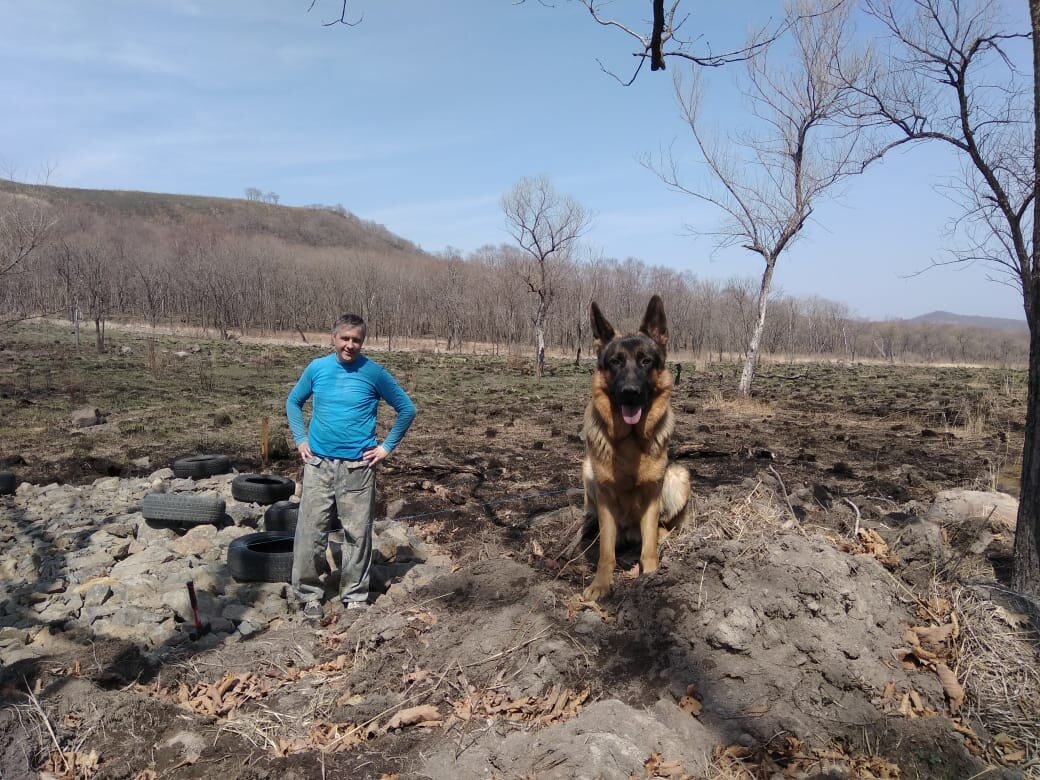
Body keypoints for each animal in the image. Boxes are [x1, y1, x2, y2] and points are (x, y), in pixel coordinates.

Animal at [586, 295, 690, 603]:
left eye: (646, 361)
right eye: (615, 362)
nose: (630, 393)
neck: (630, 441)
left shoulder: (653, 493)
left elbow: (650, 547)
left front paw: (651, 576)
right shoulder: (605, 498)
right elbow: (606, 552)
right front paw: (601, 583)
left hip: (679, 475)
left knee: (662, 529)